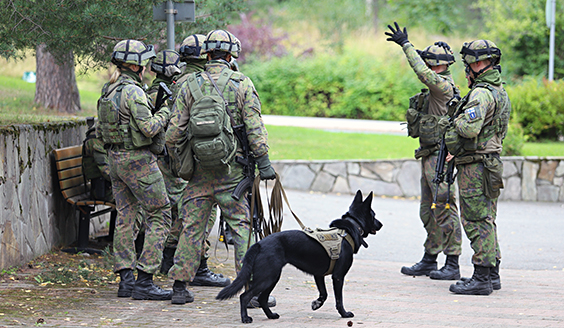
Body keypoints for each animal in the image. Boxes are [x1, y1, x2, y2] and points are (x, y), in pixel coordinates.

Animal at [216, 190, 384, 322]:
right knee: (245, 296)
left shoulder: (318, 275)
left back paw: (271, 316)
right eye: (374, 215)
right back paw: (245, 318)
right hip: (267, 277)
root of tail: (259, 244)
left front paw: (317, 304)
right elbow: (338, 299)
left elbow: (324, 294)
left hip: (272, 277)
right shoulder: (338, 276)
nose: (381, 224)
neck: (347, 231)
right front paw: (344, 313)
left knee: (262, 299)